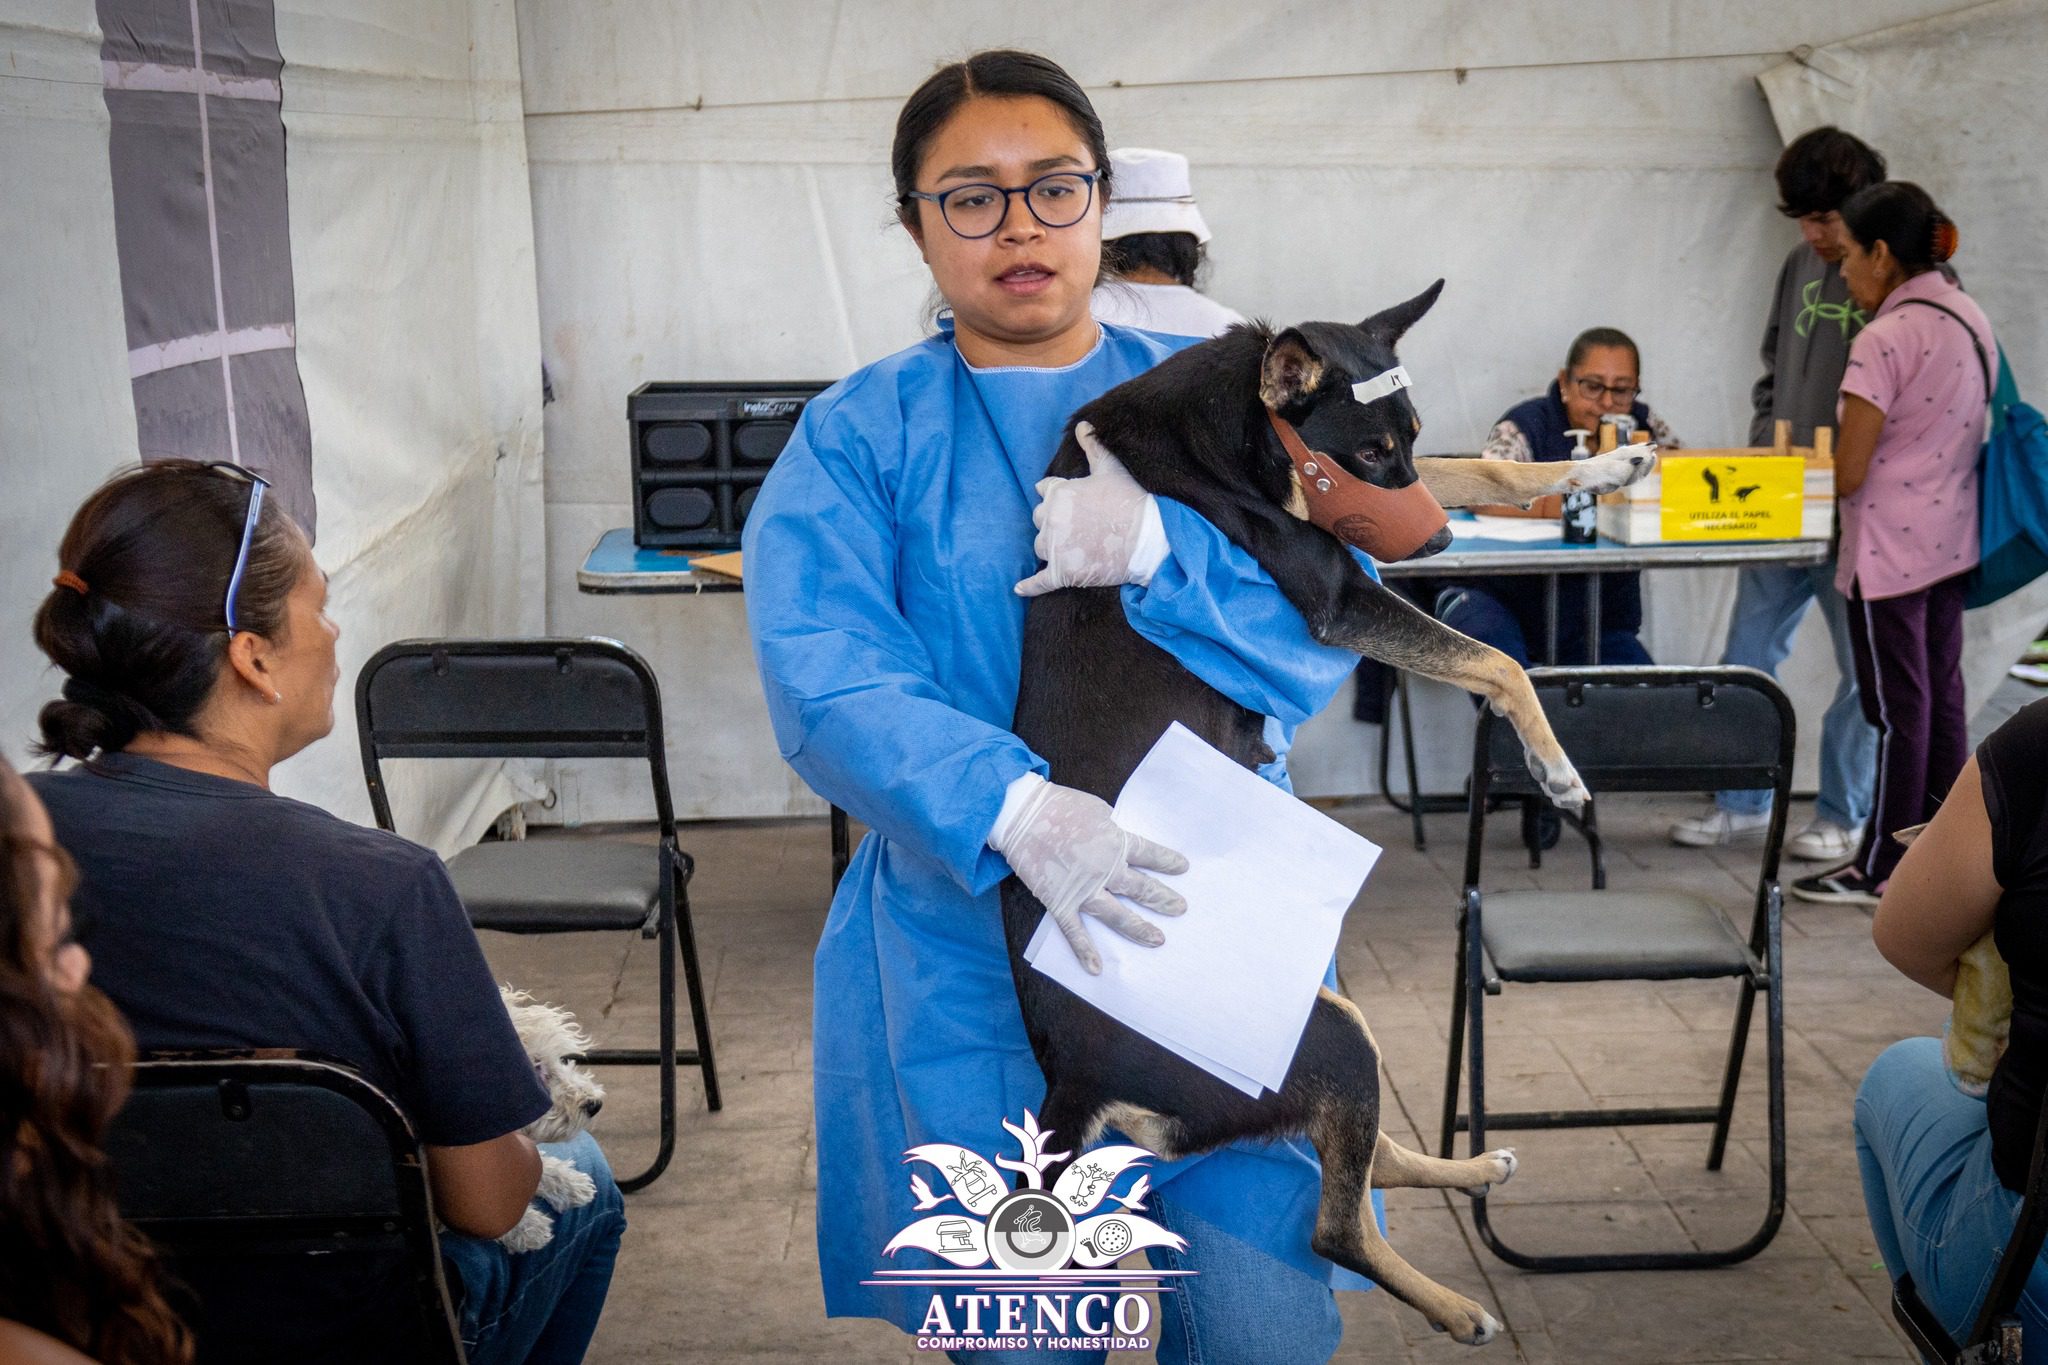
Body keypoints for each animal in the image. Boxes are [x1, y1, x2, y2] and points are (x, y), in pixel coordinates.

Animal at [999, 282, 1654, 1350]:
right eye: (1366, 451)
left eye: (1404, 440)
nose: (1439, 547)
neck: (1235, 431)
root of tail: (1076, 1077)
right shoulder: (1344, 594)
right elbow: (1500, 662)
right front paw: (1555, 769)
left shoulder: (1388, 520)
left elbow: (1485, 465)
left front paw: (1612, 462)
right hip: (1326, 1035)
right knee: (1335, 1228)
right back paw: (1455, 1306)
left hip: (1328, 1032)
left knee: (1373, 1156)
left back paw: (1473, 1167)